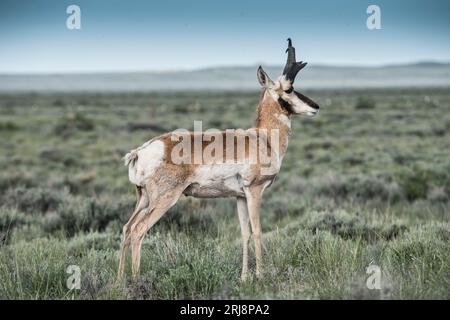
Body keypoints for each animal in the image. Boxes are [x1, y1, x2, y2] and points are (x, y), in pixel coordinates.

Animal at [118, 38, 318, 280]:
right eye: (289, 89)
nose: (316, 107)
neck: (262, 138)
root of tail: (141, 151)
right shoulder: (255, 191)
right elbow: (258, 231)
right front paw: (260, 275)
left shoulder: (239, 197)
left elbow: (245, 233)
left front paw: (244, 277)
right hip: (164, 199)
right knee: (139, 230)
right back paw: (136, 280)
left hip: (143, 198)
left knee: (127, 228)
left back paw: (118, 281)